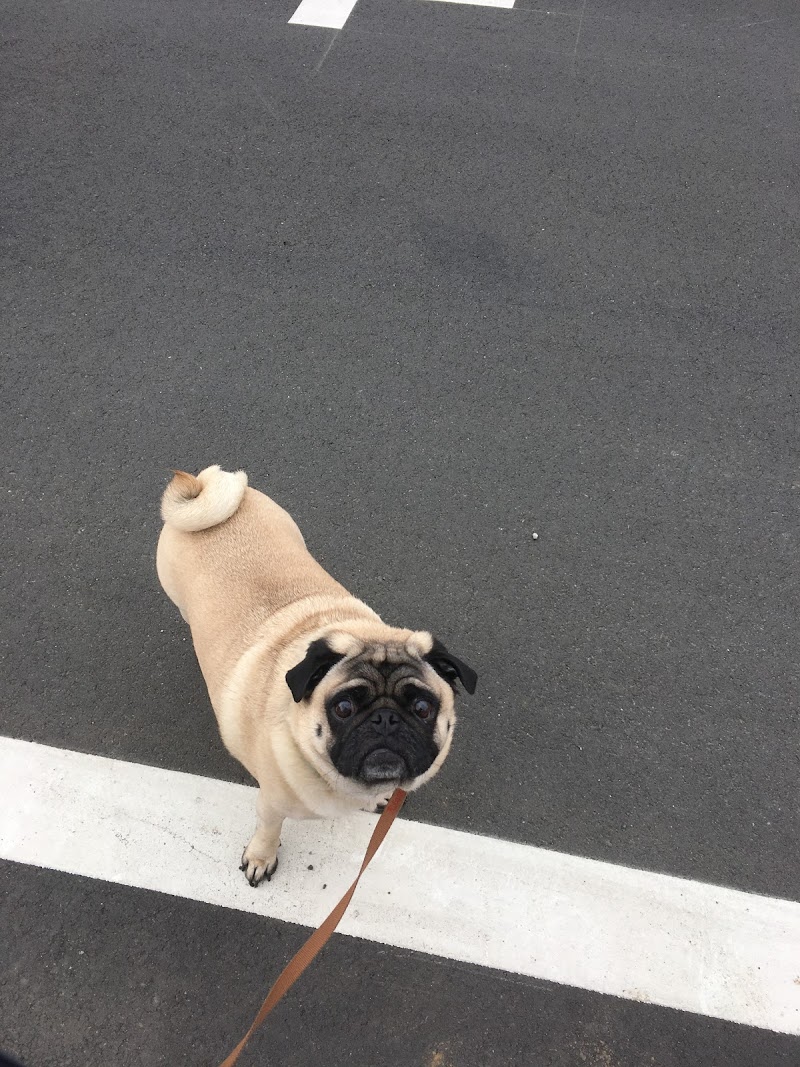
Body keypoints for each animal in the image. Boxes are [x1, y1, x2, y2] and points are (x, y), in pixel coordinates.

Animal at [160, 467, 480, 883]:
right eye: (343, 708)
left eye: (422, 708)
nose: (385, 719)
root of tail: (199, 485)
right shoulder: (270, 803)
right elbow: (269, 830)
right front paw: (261, 858)